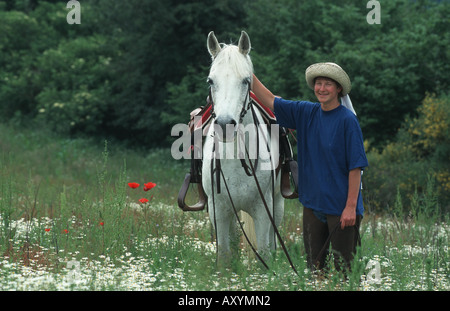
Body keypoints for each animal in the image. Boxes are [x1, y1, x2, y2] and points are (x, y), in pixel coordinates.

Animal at [202, 31, 284, 266]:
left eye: (246, 81)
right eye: (211, 81)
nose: (224, 125)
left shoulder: (263, 210)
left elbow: (264, 251)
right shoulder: (218, 211)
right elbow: (224, 255)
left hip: (278, 204)